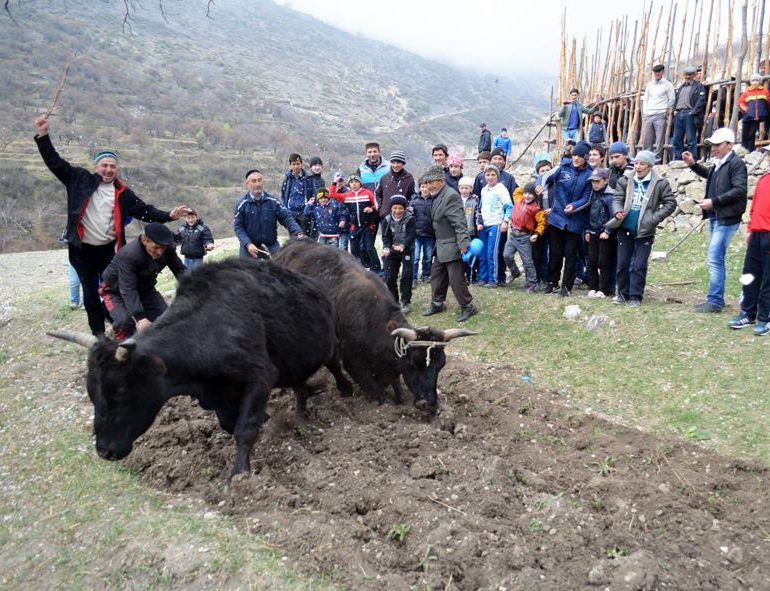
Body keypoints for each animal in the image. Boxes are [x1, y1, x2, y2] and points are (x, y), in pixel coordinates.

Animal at [50, 260, 354, 476]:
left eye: (122, 390)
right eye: (91, 393)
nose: (105, 451)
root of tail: (314, 286)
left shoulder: (260, 376)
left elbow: (245, 427)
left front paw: (239, 476)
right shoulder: (216, 393)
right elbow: (229, 423)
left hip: (326, 346)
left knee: (333, 365)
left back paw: (345, 390)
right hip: (293, 359)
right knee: (300, 385)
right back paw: (301, 416)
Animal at [270, 238, 474, 410]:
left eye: (441, 365)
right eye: (414, 364)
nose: (428, 403)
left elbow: (396, 385)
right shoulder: (354, 364)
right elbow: (378, 394)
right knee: (330, 363)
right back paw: (340, 388)